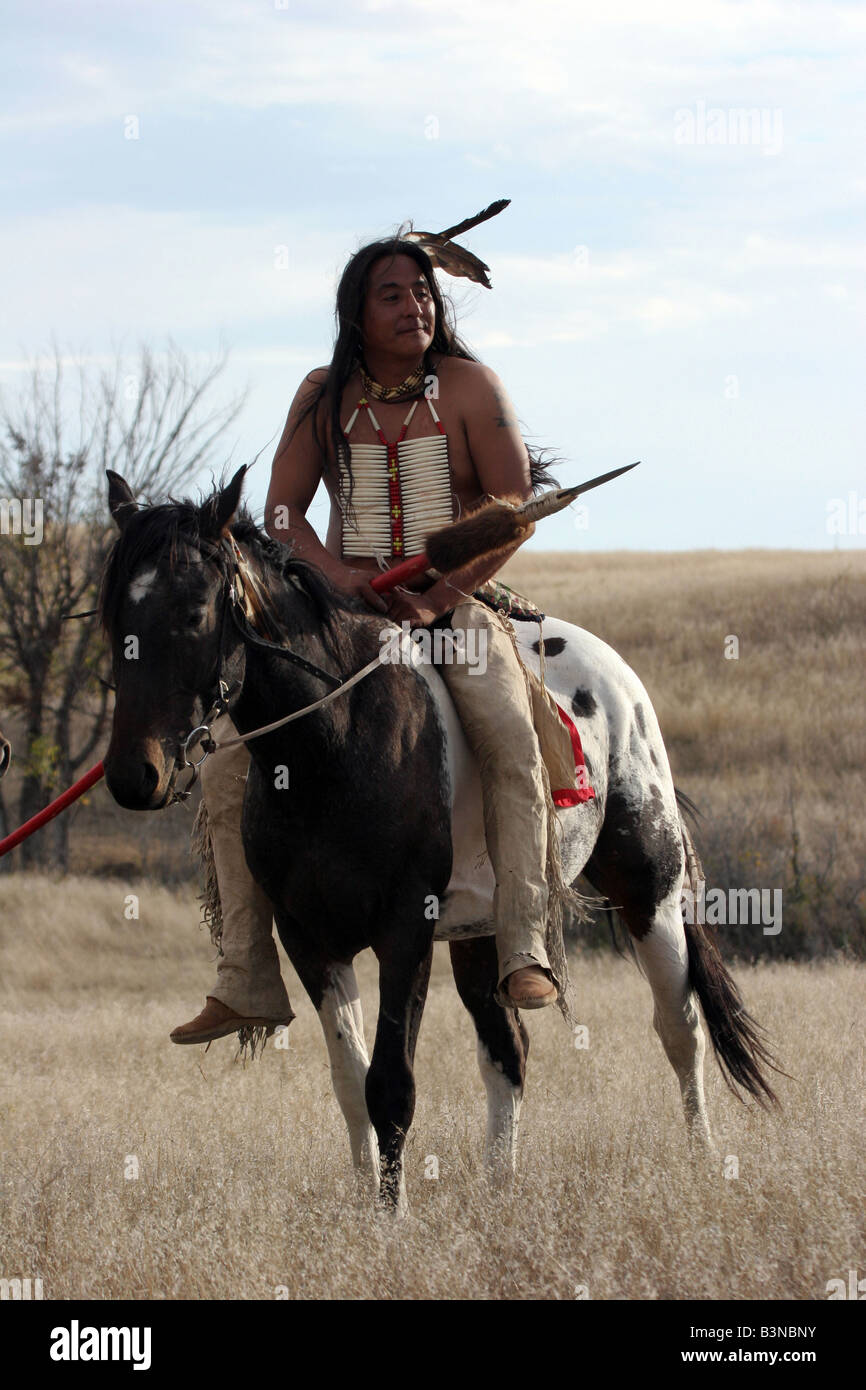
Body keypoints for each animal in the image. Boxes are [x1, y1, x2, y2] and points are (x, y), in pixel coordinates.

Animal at [100, 467, 778, 1206]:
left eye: (195, 612)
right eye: (112, 619)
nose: (134, 776)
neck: (331, 743)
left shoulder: (406, 928)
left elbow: (391, 1085)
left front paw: (391, 1217)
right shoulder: (308, 936)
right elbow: (350, 1084)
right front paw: (367, 1208)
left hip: (647, 884)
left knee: (680, 1026)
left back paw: (702, 1159)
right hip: (486, 929)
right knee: (507, 1047)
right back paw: (501, 1182)